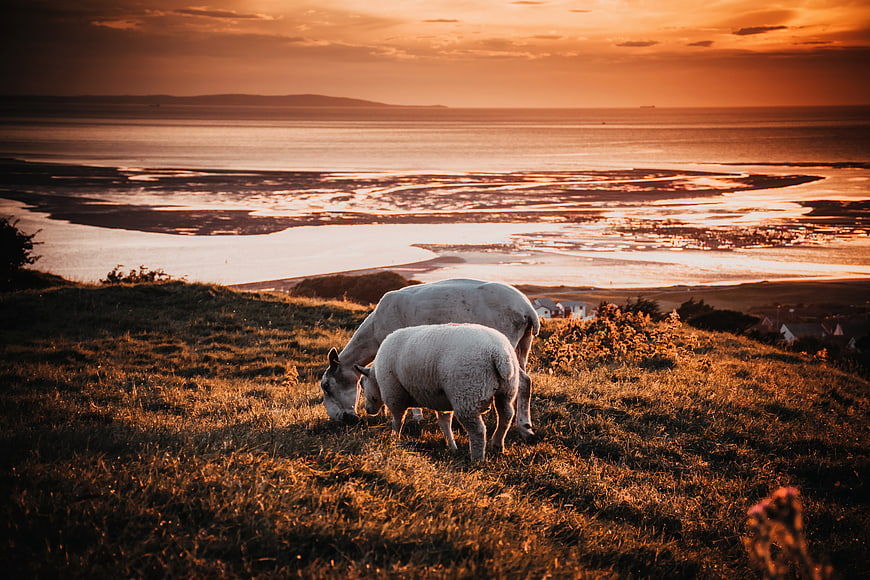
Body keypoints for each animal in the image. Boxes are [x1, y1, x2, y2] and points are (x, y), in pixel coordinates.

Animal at [321, 278, 538, 439]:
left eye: (327, 386)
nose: (340, 420)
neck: (373, 333)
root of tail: (527, 310)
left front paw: (415, 416)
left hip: (507, 343)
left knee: (524, 382)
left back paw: (525, 428)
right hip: (522, 346)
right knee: (522, 383)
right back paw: (519, 423)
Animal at [354, 323, 520, 462]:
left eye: (362, 383)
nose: (367, 410)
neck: (376, 376)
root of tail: (498, 352)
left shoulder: (394, 394)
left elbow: (397, 419)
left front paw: (394, 439)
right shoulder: (442, 400)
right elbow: (444, 423)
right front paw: (452, 447)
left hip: (467, 394)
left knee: (478, 430)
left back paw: (477, 459)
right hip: (507, 391)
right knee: (506, 415)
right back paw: (497, 445)